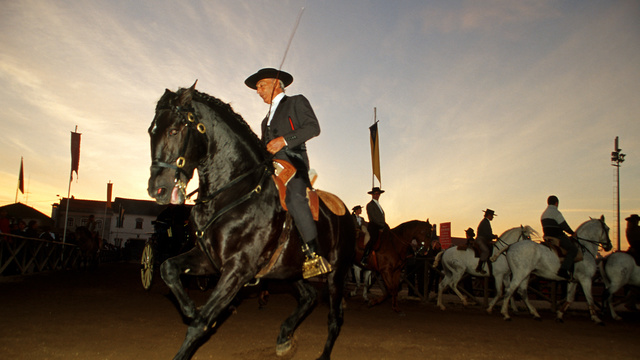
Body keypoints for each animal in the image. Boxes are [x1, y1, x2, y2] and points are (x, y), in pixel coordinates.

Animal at [146, 82, 356, 360]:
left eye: (174, 130)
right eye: (151, 131)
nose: (156, 189)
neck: (234, 191)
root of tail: (347, 214)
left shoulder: (238, 270)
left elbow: (200, 324)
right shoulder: (208, 260)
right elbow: (167, 268)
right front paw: (189, 308)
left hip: (336, 273)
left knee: (335, 317)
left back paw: (321, 355)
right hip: (289, 270)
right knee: (309, 297)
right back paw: (284, 337)